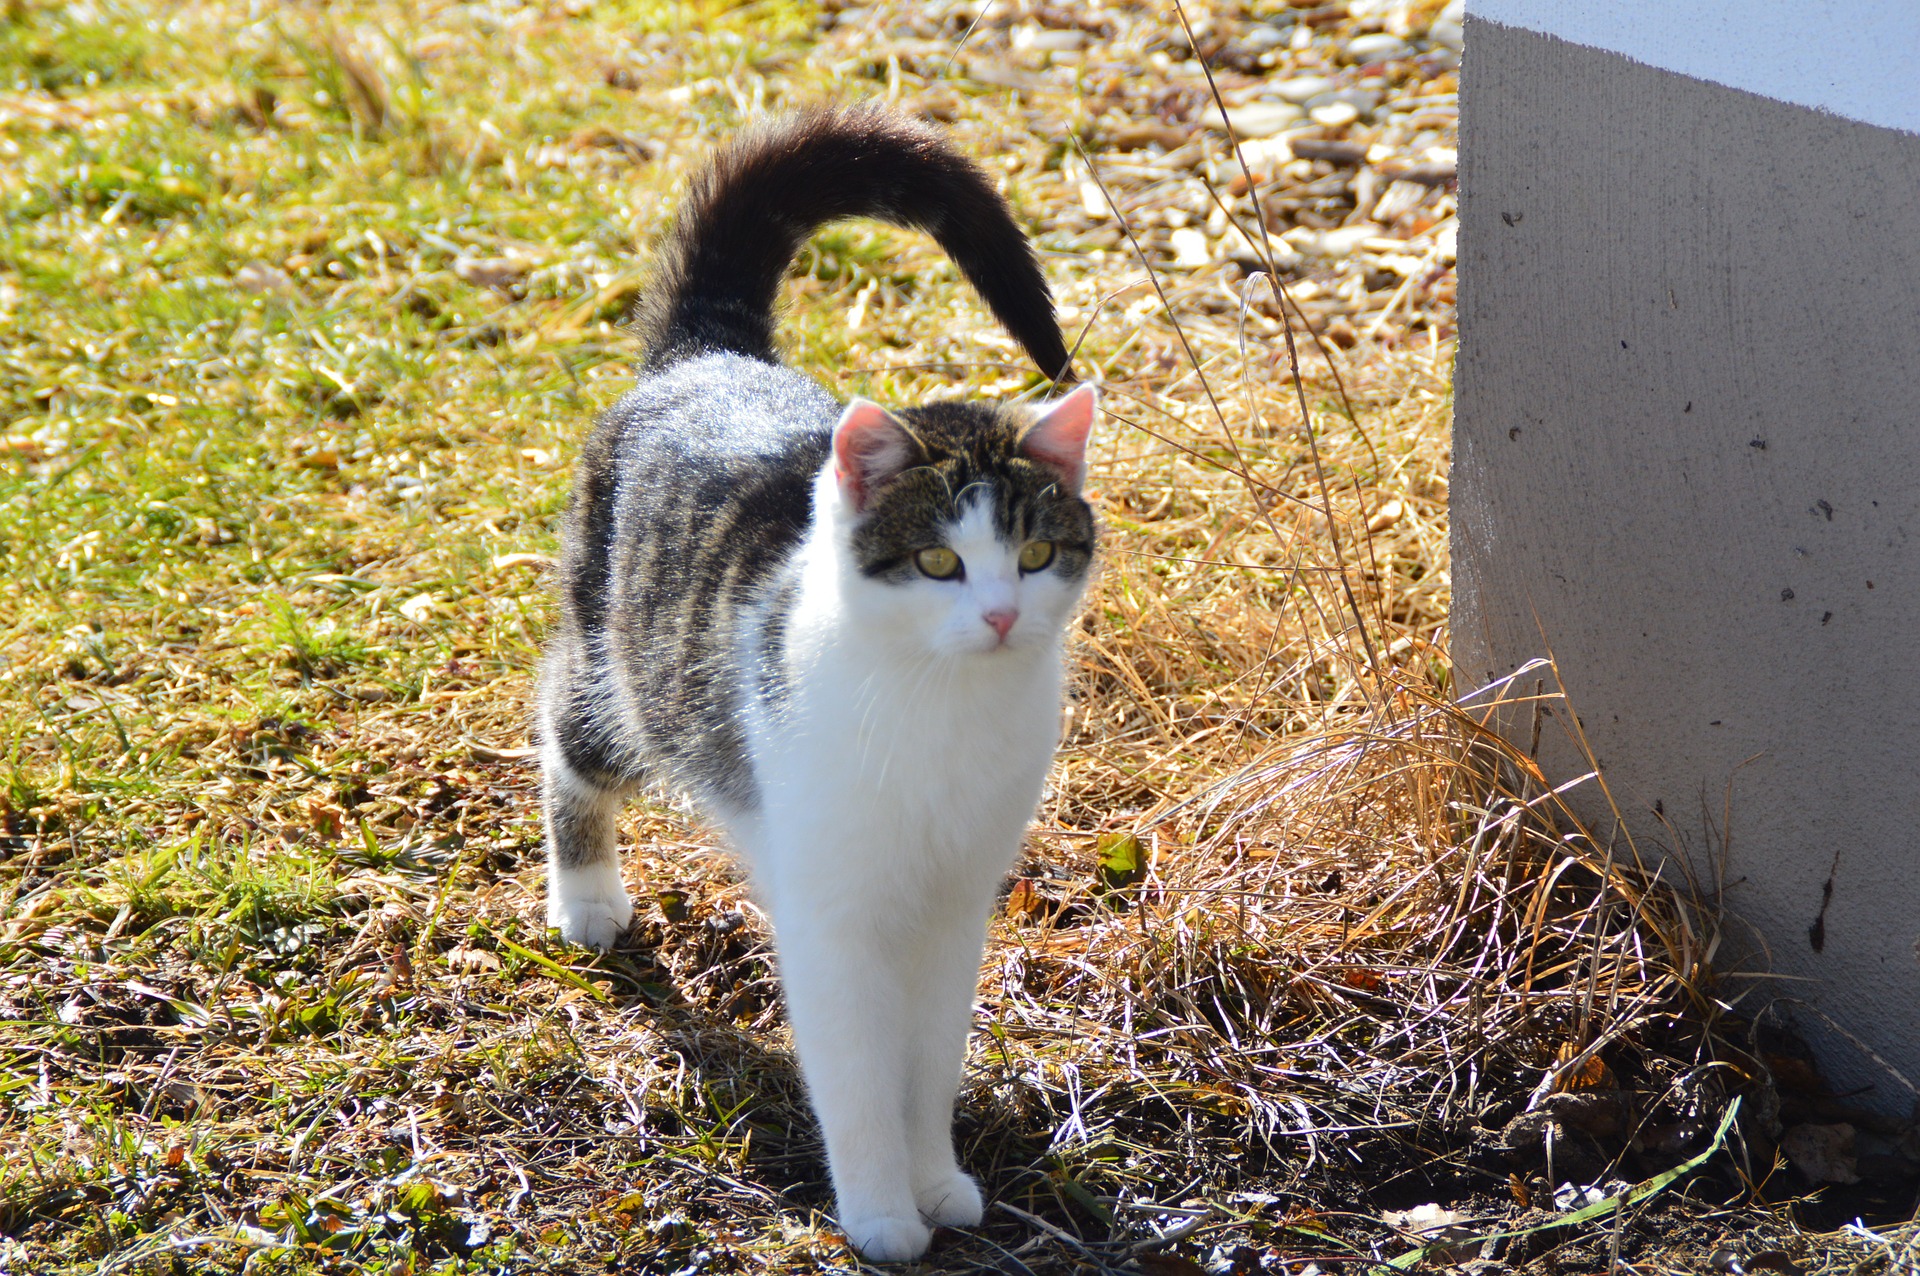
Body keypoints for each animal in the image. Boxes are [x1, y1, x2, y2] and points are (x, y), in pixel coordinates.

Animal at [541, 104, 1105, 1258]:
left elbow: (928, 1061)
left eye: (1035, 555)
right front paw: (884, 1213)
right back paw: (587, 896)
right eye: (937, 562)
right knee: (567, 739)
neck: (942, 709)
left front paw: (938, 1182)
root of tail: (710, 354)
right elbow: (855, 1071)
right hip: (618, 664)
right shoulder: (832, 910)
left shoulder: (956, 904)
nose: (999, 616)